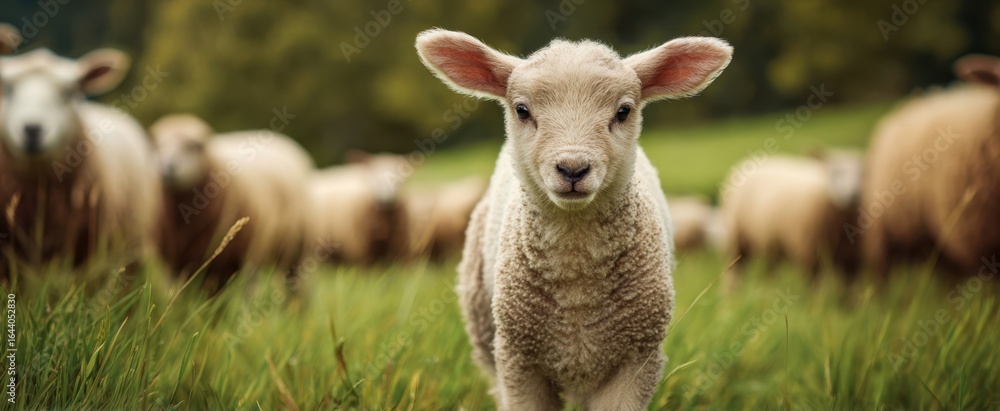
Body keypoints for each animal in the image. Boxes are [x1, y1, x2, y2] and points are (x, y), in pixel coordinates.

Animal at [151, 114, 314, 289]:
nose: (167, 167)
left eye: (194, 146)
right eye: (157, 146)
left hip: (293, 250)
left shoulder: (240, 260)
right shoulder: (176, 265)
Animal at [719, 151, 863, 274]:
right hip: (737, 242)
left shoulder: (851, 264)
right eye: (835, 172)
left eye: (862, 174)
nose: (853, 195)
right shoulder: (811, 254)